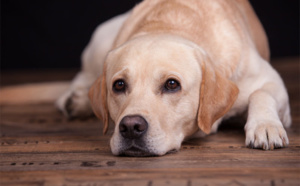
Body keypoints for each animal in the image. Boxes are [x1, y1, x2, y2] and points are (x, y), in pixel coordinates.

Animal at [1, 0, 290, 157]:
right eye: (119, 85)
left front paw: (265, 126)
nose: (130, 127)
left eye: (172, 84)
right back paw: (77, 100)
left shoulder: (271, 81)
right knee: (82, 78)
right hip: (101, 39)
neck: (172, 22)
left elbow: (261, 93)